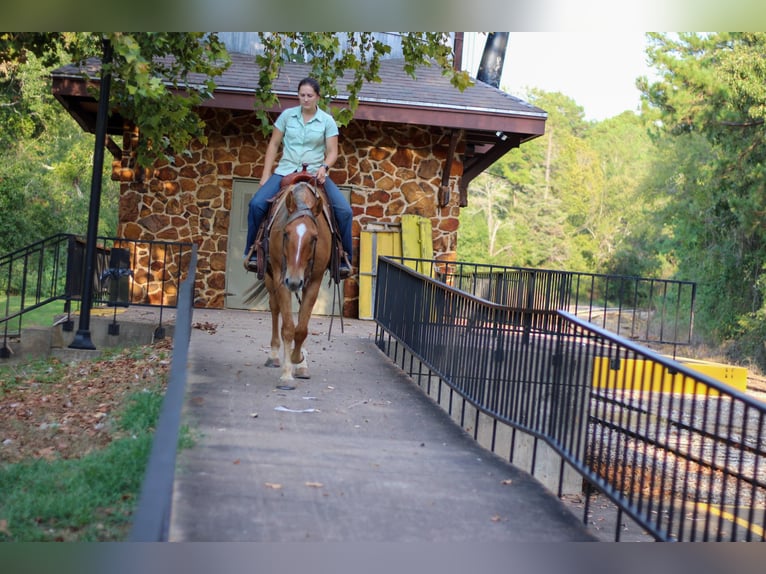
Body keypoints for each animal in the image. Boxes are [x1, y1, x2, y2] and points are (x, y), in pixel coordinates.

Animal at [262, 176, 332, 382]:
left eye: (314, 238)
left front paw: (298, 359)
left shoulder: (314, 281)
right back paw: (274, 356)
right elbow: (288, 327)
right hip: (270, 277)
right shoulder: (281, 277)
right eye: (286, 233)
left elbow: (301, 328)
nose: (294, 281)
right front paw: (286, 374)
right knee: (275, 308)